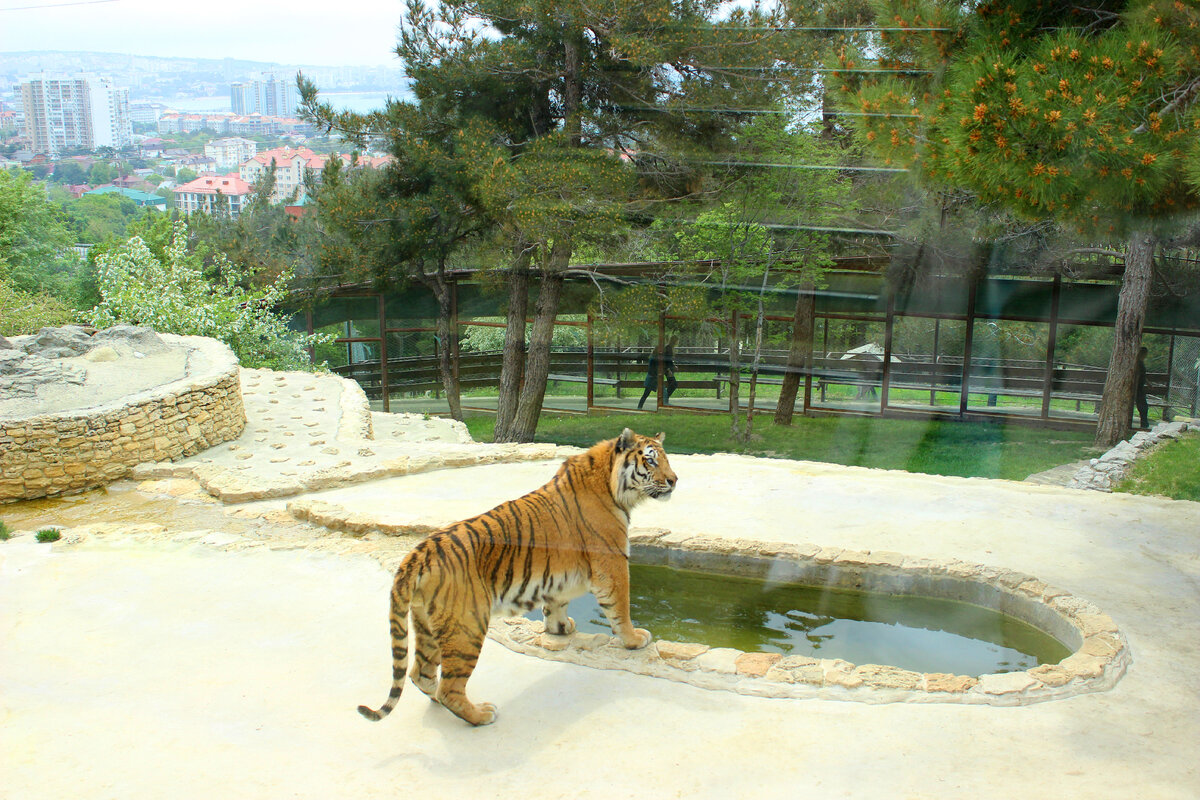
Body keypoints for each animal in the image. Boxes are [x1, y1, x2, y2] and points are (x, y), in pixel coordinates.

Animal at [355, 429, 676, 729]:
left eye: (666, 458)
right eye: (651, 459)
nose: (674, 480)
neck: (612, 484)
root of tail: (416, 555)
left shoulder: (560, 575)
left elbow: (556, 603)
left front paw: (560, 628)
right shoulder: (612, 564)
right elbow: (620, 608)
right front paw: (634, 639)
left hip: (426, 625)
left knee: (419, 673)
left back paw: (438, 698)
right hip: (467, 625)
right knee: (450, 686)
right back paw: (481, 714)